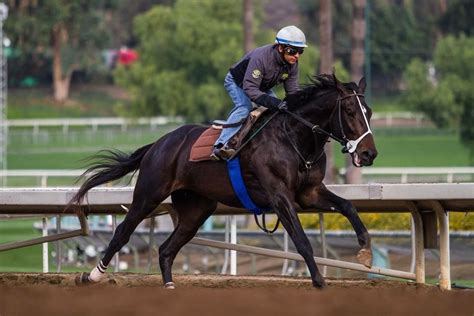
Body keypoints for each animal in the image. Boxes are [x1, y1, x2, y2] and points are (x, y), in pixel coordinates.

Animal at [69, 73, 378, 288]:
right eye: (350, 112)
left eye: (370, 112)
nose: (369, 153)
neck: (294, 137)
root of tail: (158, 143)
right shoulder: (279, 195)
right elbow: (301, 240)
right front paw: (319, 281)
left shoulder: (310, 192)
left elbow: (348, 206)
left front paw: (365, 250)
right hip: (149, 194)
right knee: (123, 231)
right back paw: (92, 276)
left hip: (197, 208)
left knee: (167, 248)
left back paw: (169, 284)